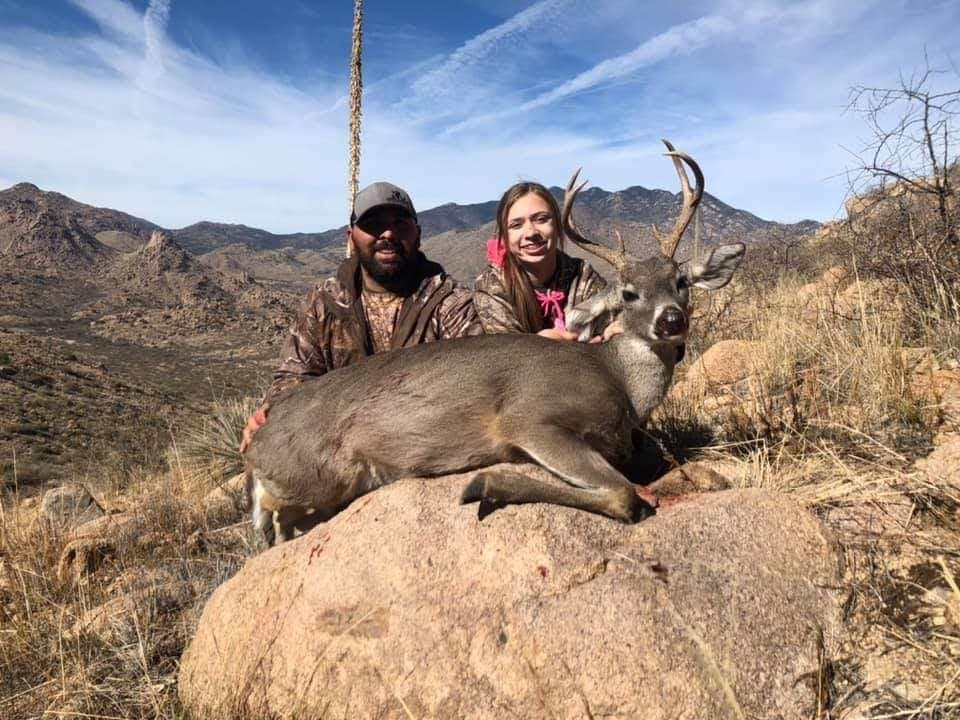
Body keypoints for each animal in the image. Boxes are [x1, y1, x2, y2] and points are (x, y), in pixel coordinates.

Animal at [244, 140, 745, 544]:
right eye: (628, 293)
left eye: (681, 281)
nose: (671, 320)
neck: (617, 381)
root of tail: (256, 443)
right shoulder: (529, 417)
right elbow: (624, 494)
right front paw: (483, 485)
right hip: (320, 475)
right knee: (273, 515)